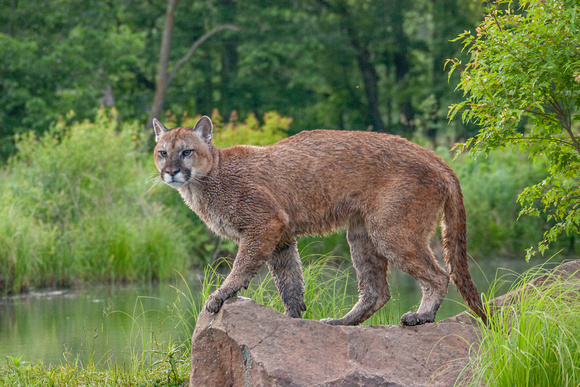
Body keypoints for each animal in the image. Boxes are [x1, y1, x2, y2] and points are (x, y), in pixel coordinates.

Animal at [153, 116, 484, 326]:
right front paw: (293, 317)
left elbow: (242, 266)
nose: (171, 171)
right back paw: (341, 322)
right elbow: (289, 279)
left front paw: (219, 296)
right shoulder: (281, 235)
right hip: (361, 232)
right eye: (162, 152)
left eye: (186, 151)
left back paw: (421, 316)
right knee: (377, 290)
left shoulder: (264, 224)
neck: (205, 181)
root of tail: (435, 157)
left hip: (391, 229)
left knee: (438, 275)